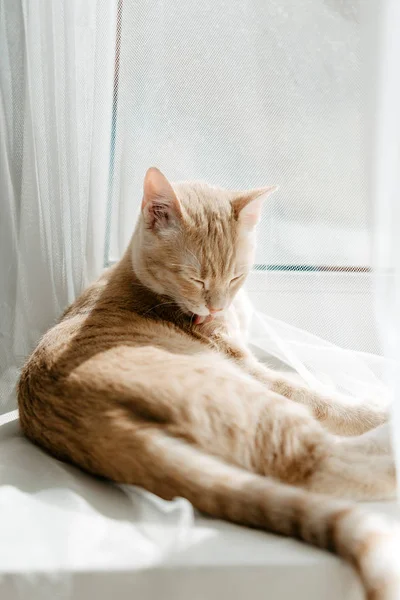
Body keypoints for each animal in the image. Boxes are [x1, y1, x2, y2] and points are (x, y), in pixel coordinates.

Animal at [18, 166, 400, 596]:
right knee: (320, 464)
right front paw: (372, 410)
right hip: (251, 402)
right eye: (195, 279)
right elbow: (322, 399)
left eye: (236, 277)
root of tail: (101, 423)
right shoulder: (248, 367)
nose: (216, 307)